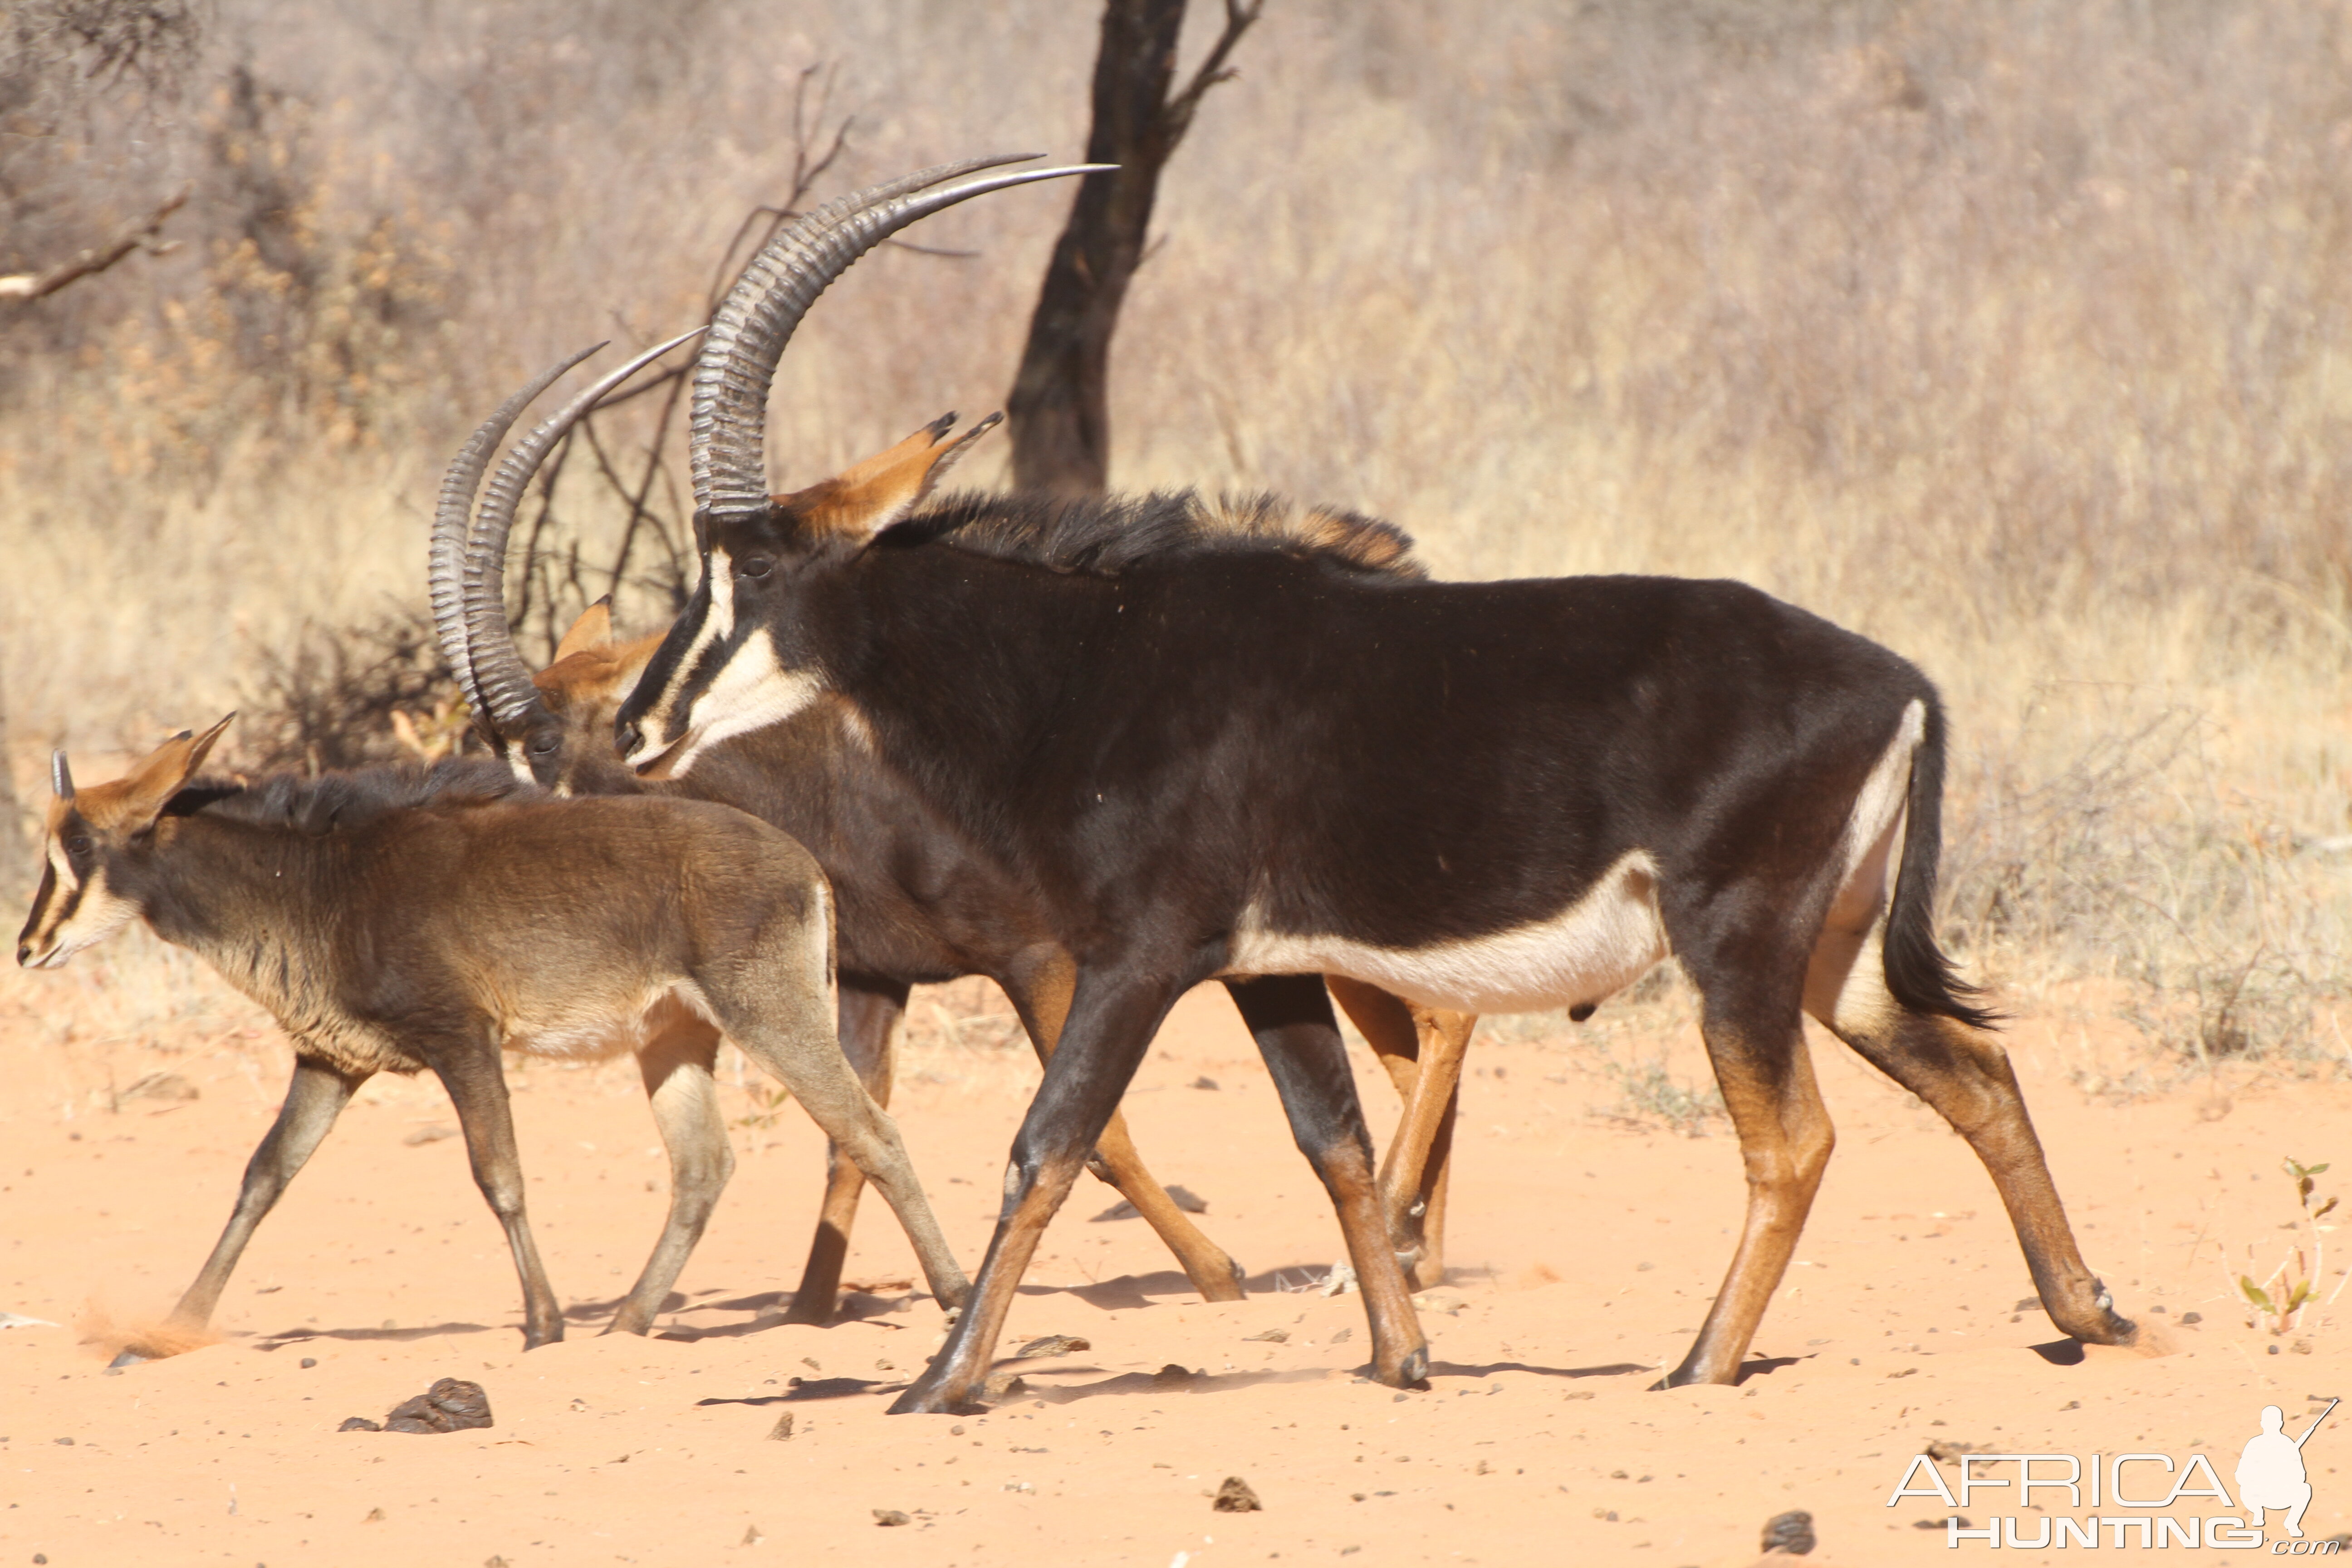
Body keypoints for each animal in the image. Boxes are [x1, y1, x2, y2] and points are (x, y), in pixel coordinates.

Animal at [11, 719, 964, 1354]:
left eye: (80, 847)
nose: (26, 947)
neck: (316, 879)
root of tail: (806, 868)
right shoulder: (329, 1060)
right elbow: (263, 1178)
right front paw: (174, 1325)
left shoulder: (460, 1037)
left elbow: (497, 1175)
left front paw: (542, 1324)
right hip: (673, 1039)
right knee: (704, 1166)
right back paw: (627, 1322)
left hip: (771, 1012)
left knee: (869, 1132)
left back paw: (955, 1294)